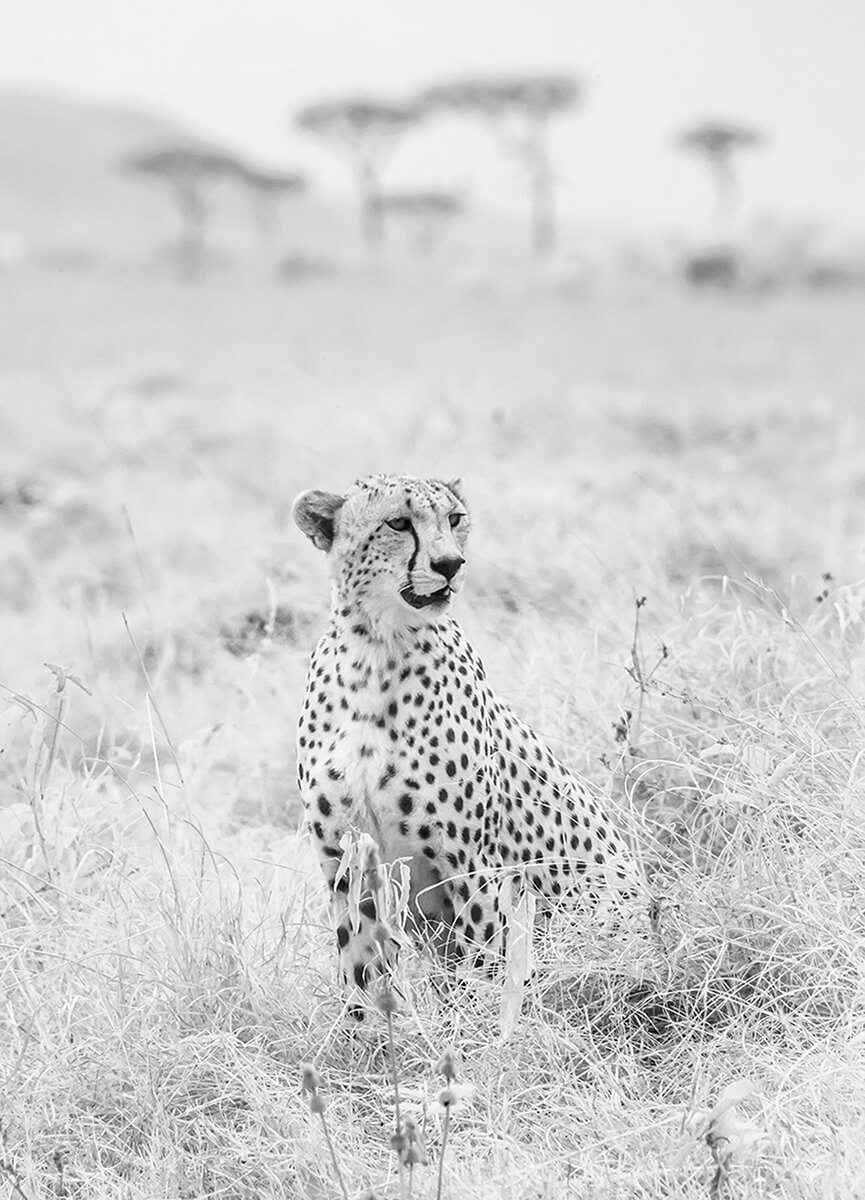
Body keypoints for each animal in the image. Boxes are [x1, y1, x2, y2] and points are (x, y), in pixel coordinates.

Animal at [293, 472, 643, 998]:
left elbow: (484, 966)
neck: (375, 649)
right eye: (398, 523)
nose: (450, 564)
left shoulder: (470, 864)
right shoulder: (346, 861)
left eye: (454, 518)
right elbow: (362, 970)